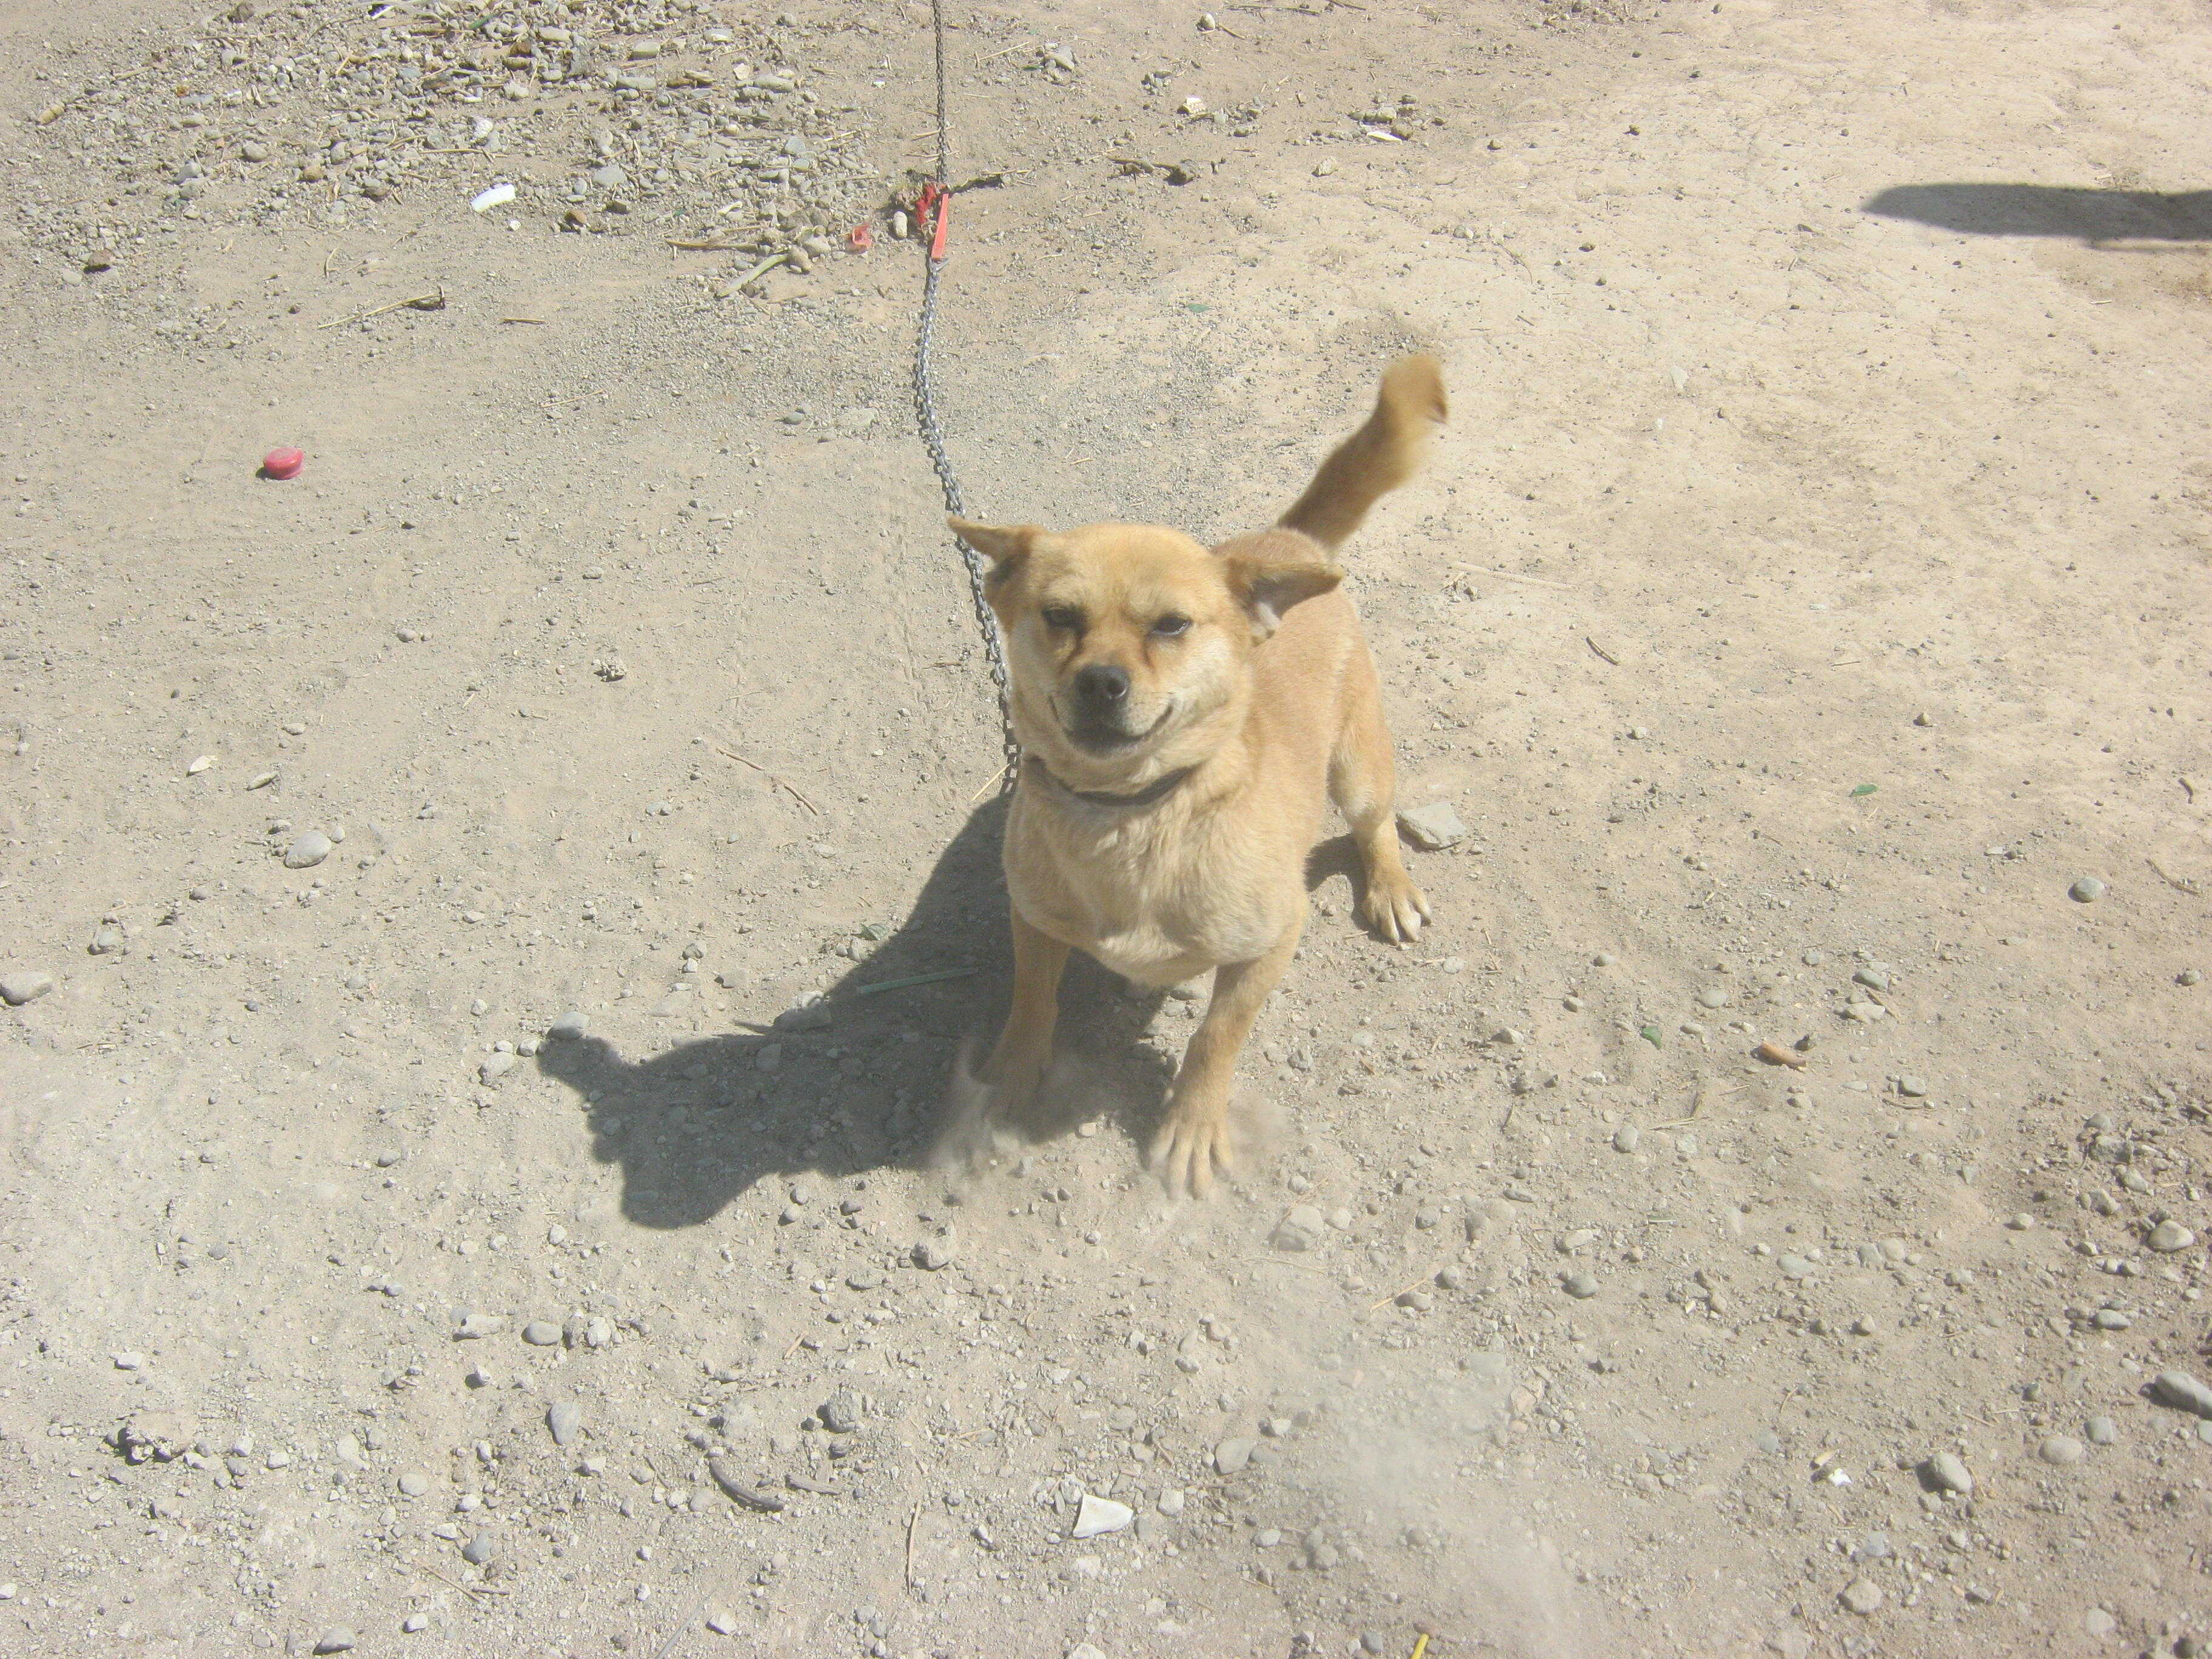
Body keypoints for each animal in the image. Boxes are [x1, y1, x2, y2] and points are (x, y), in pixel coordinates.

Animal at [941, 355, 1445, 1196]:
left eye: (1171, 626)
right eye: (1060, 616)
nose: (1101, 683)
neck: (1130, 814)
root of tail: (1281, 541)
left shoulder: (1269, 945)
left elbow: (1216, 1038)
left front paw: (1192, 1125)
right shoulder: (1035, 921)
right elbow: (1031, 999)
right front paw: (1014, 1074)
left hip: (1358, 770)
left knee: (1376, 825)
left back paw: (1390, 886)